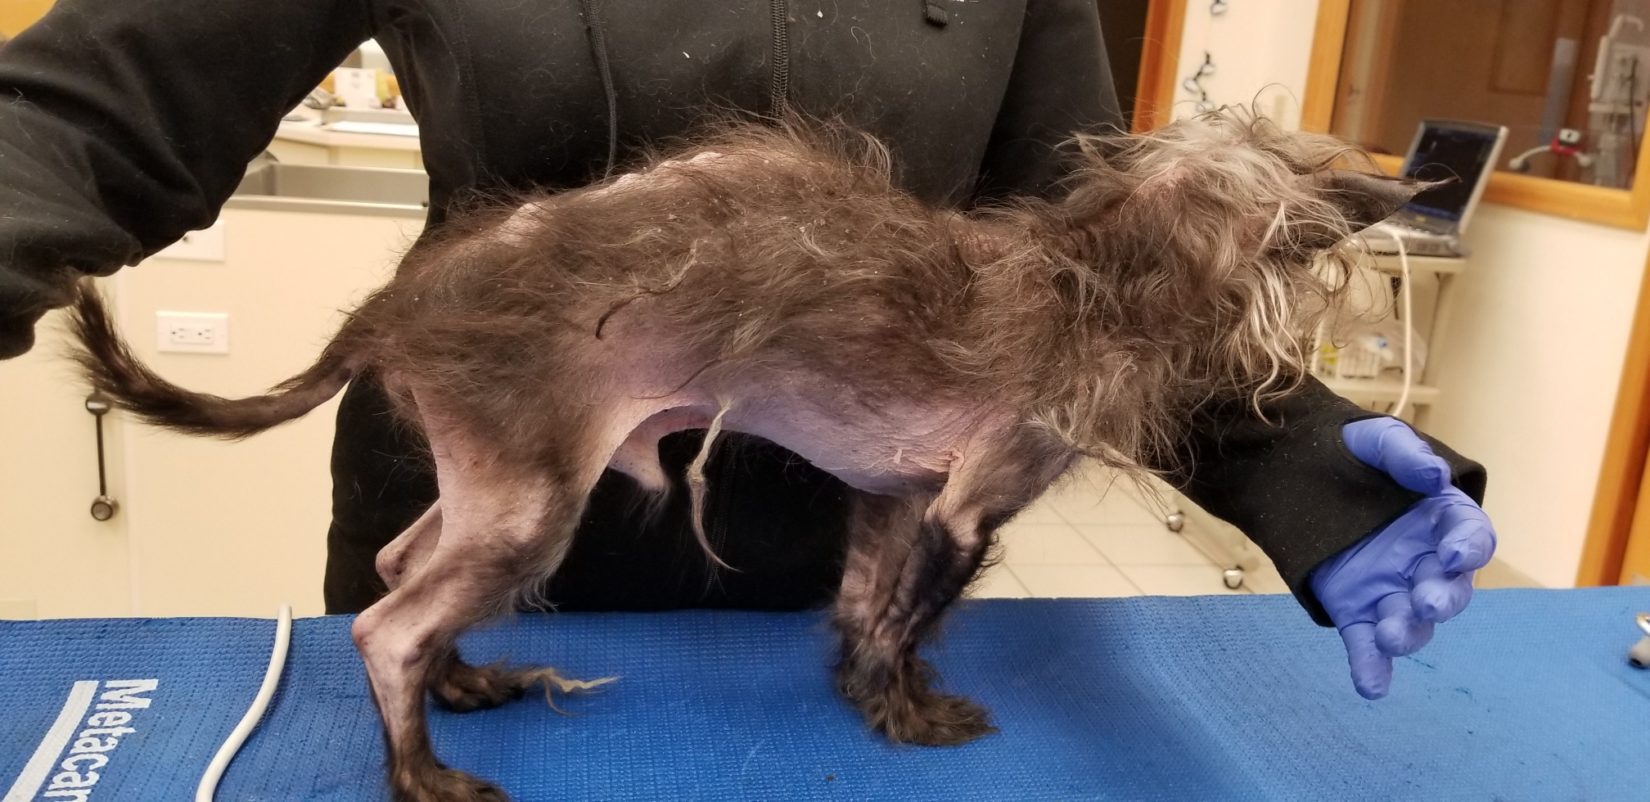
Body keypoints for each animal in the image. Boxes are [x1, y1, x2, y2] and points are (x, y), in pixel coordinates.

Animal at [67, 109, 1419, 798]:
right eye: (1312, 201)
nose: (1395, 197)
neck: (1100, 275)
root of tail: (396, 309)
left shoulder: (895, 499)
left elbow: (866, 611)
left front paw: (865, 697)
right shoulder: (966, 506)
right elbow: (908, 626)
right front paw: (912, 715)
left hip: (488, 479)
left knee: (401, 569)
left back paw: (466, 685)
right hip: (530, 497)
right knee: (383, 624)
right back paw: (425, 770)